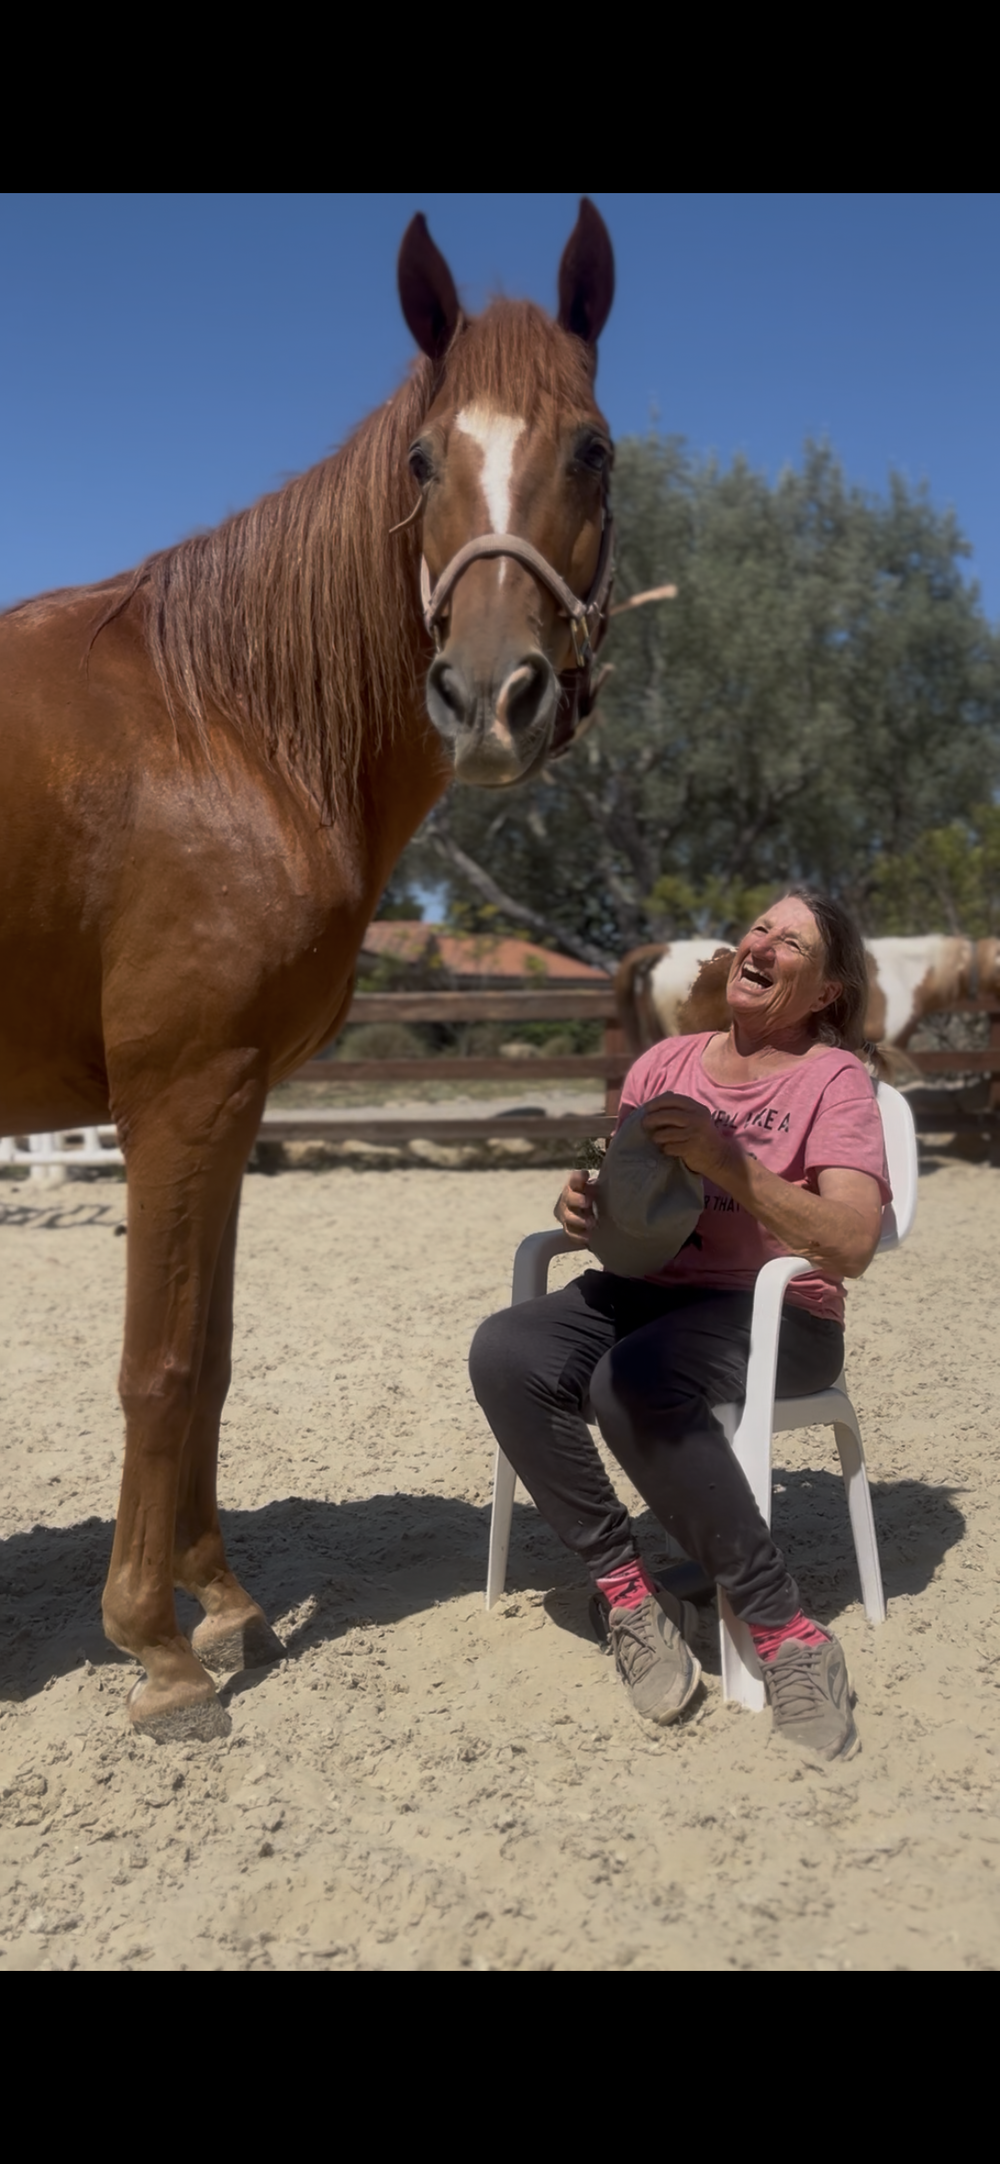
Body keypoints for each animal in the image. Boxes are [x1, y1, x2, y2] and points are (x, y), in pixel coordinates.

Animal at [0, 199, 617, 1742]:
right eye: (422, 459)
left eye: (591, 446)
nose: (493, 695)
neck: (218, 721)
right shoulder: (175, 1099)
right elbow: (158, 1368)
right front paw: (156, 1653)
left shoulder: (230, 1106)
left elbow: (211, 1361)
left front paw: (221, 1605)